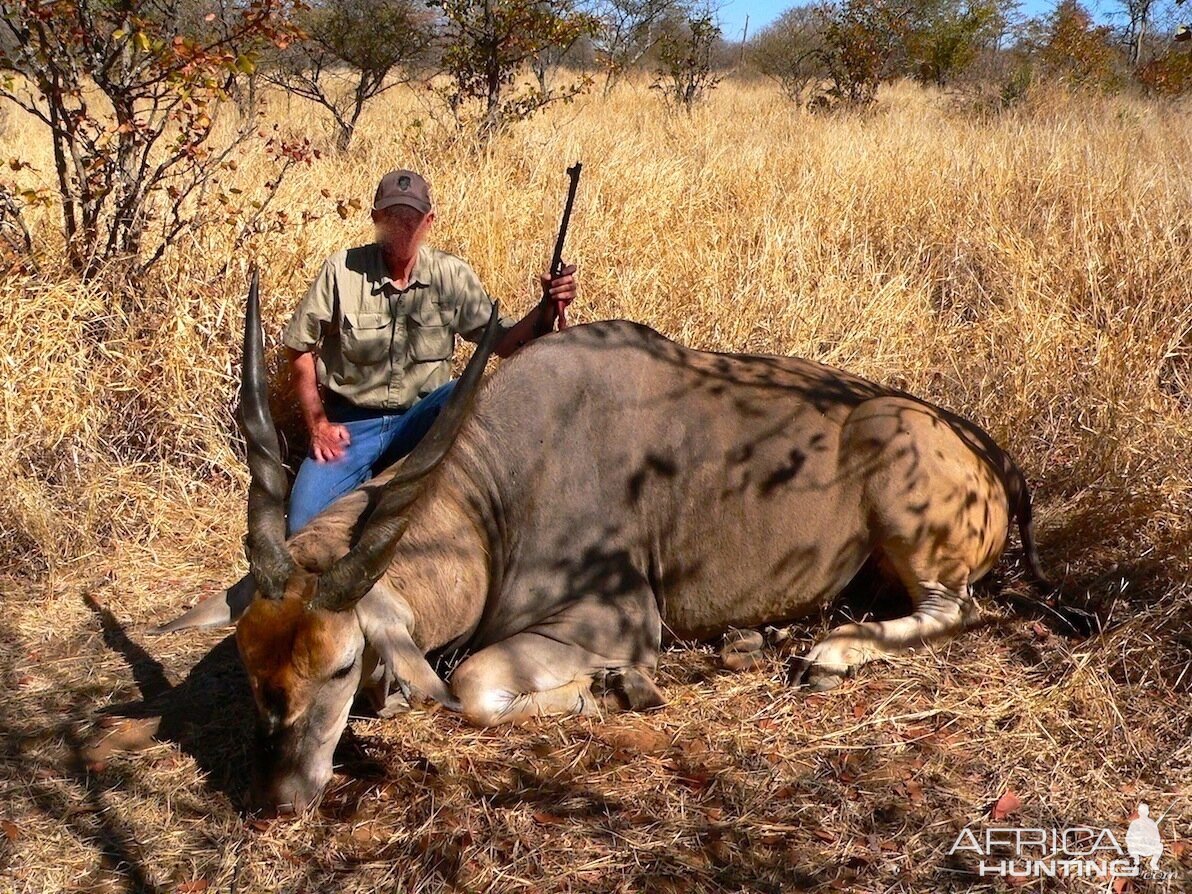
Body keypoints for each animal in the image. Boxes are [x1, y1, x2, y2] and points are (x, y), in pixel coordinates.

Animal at [156, 276, 1044, 815]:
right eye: (252, 666)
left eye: (341, 666)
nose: (277, 800)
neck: (500, 492)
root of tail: (983, 451)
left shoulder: (611, 621)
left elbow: (473, 687)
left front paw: (614, 691)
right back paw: (759, 642)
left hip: (911, 509)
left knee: (954, 609)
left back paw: (829, 653)